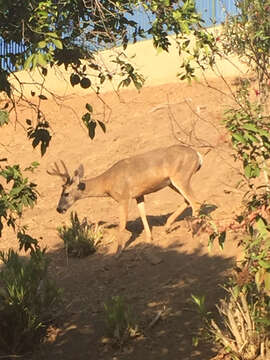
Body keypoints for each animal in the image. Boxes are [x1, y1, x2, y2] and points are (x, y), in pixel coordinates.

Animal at [47, 144, 202, 253]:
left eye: (66, 193)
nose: (59, 208)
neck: (107, 182)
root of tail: (198, 155)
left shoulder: (124, 197)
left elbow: (122, 224)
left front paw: (118, 250)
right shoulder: (139, 195)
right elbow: (143, 215)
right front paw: (149, 239)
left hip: (180, 177)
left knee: (195, 202)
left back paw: (193, 231)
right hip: (171, 182)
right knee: (188, 200)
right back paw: (167, 227)